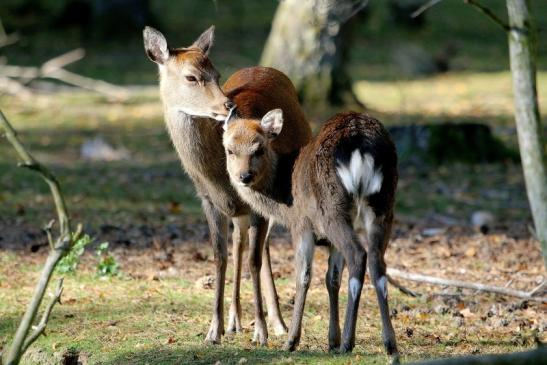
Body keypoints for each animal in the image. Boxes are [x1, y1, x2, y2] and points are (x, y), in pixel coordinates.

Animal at [142, 27, 312, 342]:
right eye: (191, 77)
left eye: (217, 73)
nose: (227, 106)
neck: (216, 176)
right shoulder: (208, 201)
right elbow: (220, 257)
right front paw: (214, 330)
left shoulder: (257, 202)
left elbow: (254, 261)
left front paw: (261, 331)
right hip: (238, 213)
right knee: (239, 243)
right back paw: (235, 320)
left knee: (262, 248)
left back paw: (278, 323)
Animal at [225, 111, 400, 362]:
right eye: (230, 149)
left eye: (259, 149)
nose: (244, 176)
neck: (284, 198)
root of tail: (360, 142)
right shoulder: (330, 243)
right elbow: (332, 279)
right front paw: (331, 341)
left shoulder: (301, 225)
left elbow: (303, 276)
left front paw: (291, 341)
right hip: (383, 205)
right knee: (377, 262)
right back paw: (390, 346)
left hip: (332, 210)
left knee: (358, 255)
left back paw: (348, 343)